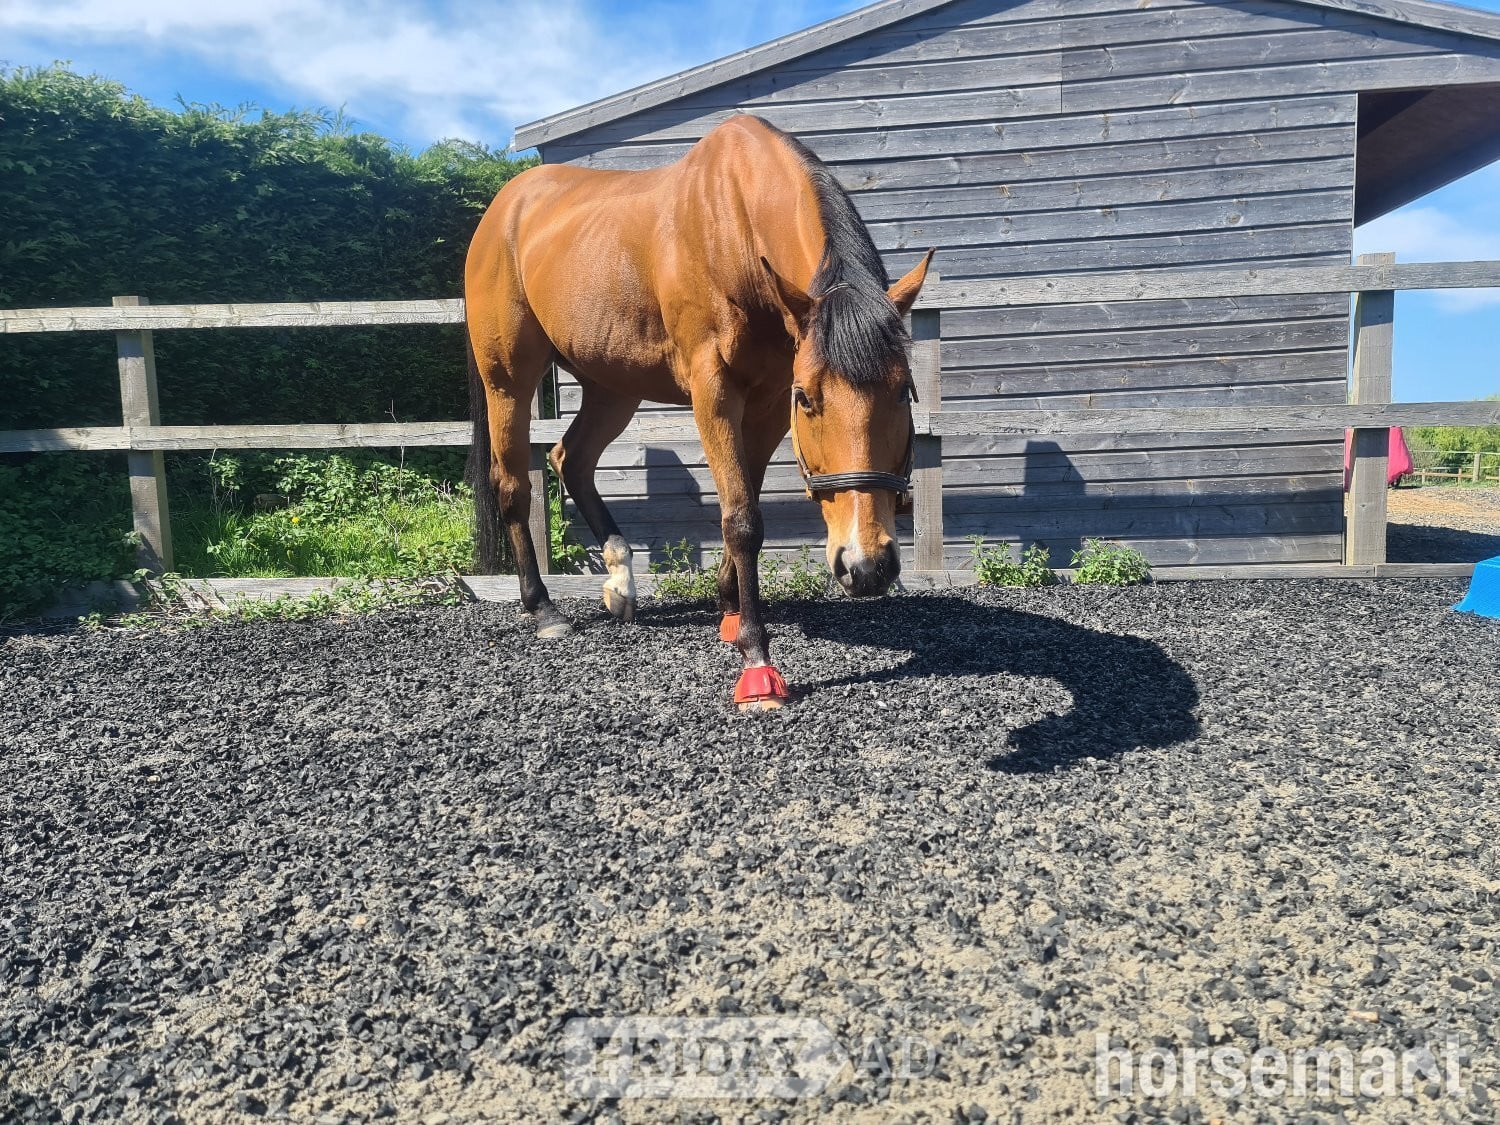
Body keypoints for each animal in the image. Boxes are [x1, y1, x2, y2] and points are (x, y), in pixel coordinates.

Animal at [464, 114, 933, 711]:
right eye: (808, 397)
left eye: (902, 391)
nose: (866, 566)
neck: (736, 226)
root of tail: (502, 207)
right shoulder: (715, 391)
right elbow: (742, 518)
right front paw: (756, 658)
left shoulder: (766, 404)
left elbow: (744, 500)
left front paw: (729, 609)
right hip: (508, 379)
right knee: (513, 484)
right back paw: (544, 608)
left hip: (612, 384)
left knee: (572, 459)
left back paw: (620, 582)